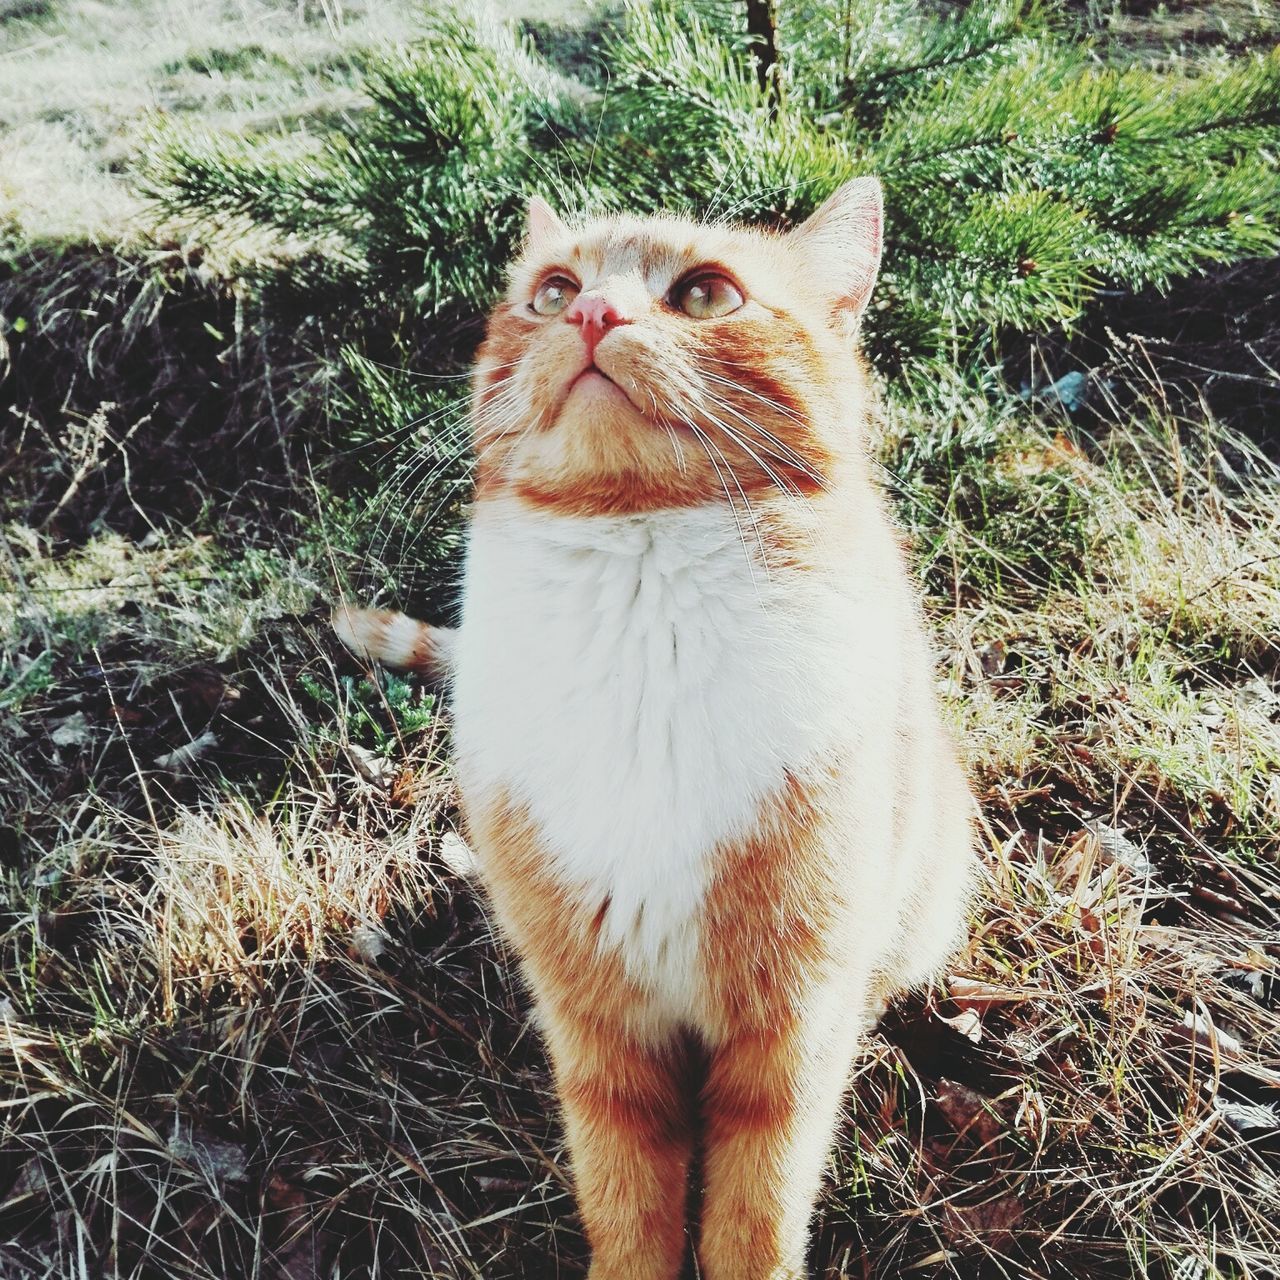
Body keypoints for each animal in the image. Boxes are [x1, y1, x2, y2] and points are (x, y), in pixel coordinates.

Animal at [335, 180, 972, 1280]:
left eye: (705, 293)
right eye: (553, 291)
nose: (595, 314)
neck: (645, 615)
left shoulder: (794, 1019)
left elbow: (757, 1208)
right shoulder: (593, 1017)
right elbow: (624, 1188)